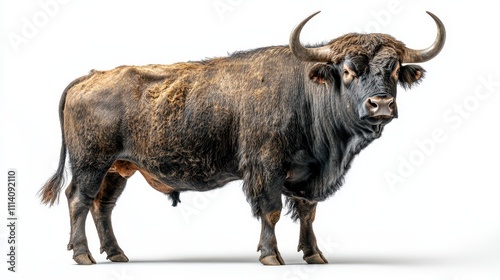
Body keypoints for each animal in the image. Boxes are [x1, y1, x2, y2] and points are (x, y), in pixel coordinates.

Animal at [39, 10, 446, 264]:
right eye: (347, 70)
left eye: (393, 68)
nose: (381, 105)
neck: (307, 91)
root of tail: (89, 77)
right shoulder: (266, 168)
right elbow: (271, 210)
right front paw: (271, 256)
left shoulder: (306, 176)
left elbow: (308, 212)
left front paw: (315, 255)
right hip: (92, 164)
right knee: (78, 199)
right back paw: (83, 255)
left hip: (119, 169)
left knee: (102, 206)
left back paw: (117, 253)